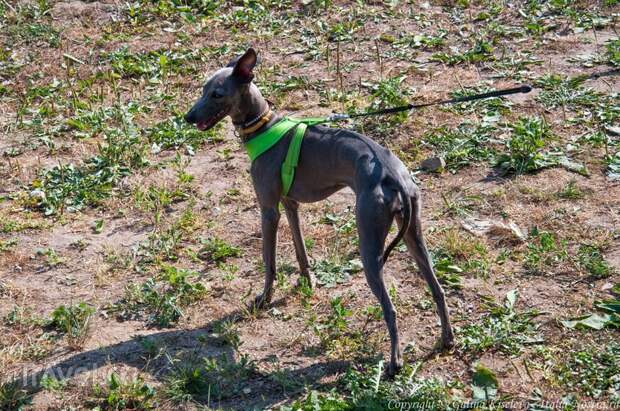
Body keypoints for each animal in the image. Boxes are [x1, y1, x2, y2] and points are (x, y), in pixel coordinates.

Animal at [185, 48, 456, 376]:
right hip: (414, 234)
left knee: (390, 309)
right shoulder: (290, 205)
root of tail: (392, 174)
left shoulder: (268, 210)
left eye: (217, 94)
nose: (188, 117)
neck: (263, 125)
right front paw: (308, 281)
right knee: (438, 289)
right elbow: (300, 250)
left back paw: (395, 361)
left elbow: (269, 261)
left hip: (370, 245)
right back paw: (447, 340)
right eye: (203, 90)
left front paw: (264, 298)